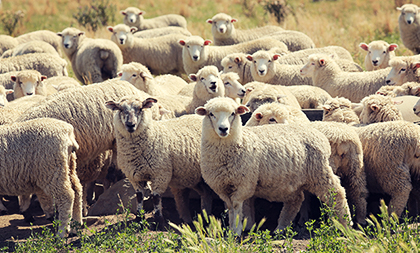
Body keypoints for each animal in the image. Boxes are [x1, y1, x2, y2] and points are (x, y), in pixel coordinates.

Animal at [105, 96, 213, 227]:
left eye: (140, 108)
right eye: (120, 109)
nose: (130, 125)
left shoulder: (160, 173)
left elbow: (156, 197)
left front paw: (159, 221)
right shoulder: (135, 177)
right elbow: (139, 197)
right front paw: (139, 219)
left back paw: (206, 218)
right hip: (192, 176)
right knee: (205, 193)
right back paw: (204, 217)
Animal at [194, 97, 352, 235]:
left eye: (233, 113)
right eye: (211, 114)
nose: (223, 129)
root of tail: (316, 131)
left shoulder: (244, 183)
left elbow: (237, 206)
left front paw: (237, 230)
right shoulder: (221, 186)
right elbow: (231, 207)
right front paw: (237, 228)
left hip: (319, 171)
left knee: (337, 192)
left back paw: (345, 224)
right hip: (292, 179)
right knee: (296, 200)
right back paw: (281, 228)